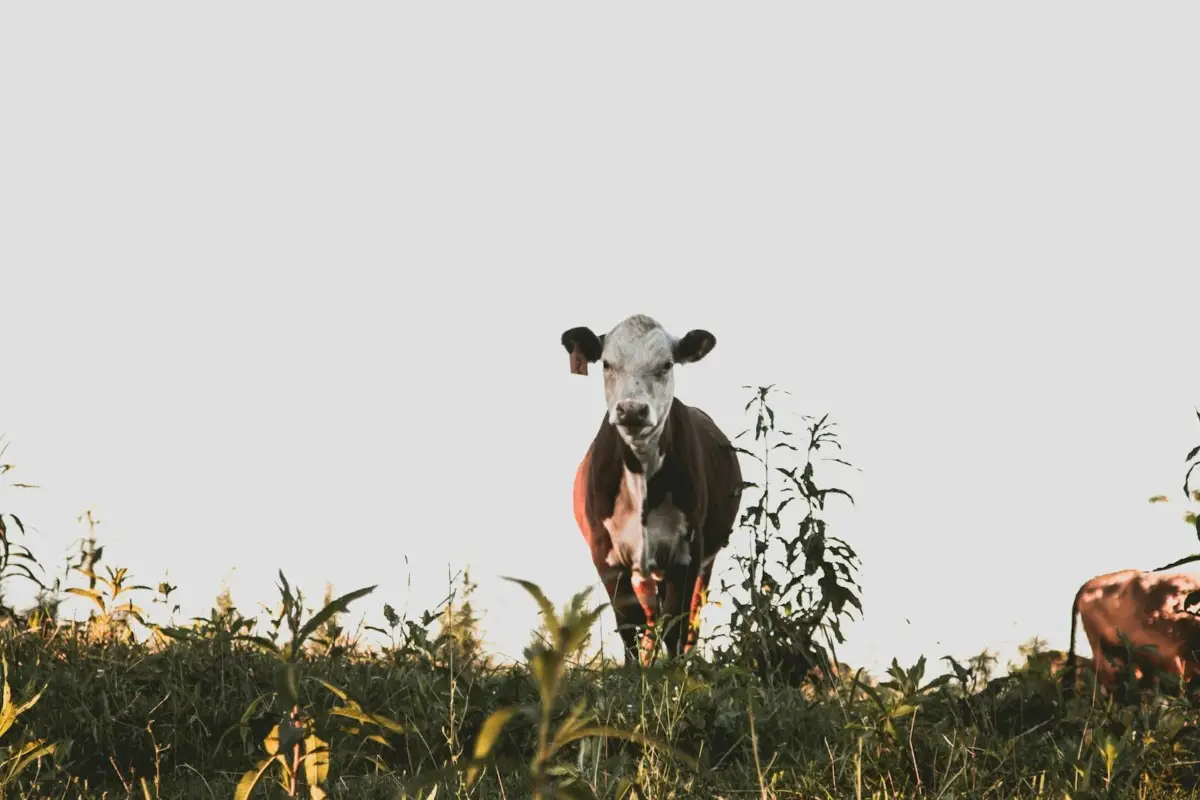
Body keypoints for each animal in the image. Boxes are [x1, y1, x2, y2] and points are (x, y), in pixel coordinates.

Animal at [562, 314, 743, 666]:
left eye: (666, 365)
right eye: (607, 364)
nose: (633, 410)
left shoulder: (688, 551)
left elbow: (677, 625)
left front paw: (673, 673)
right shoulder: (607, 555)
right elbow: (629, 626)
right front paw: (636, 672)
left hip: (703, 562)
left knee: (689, 619)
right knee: (648, 621)